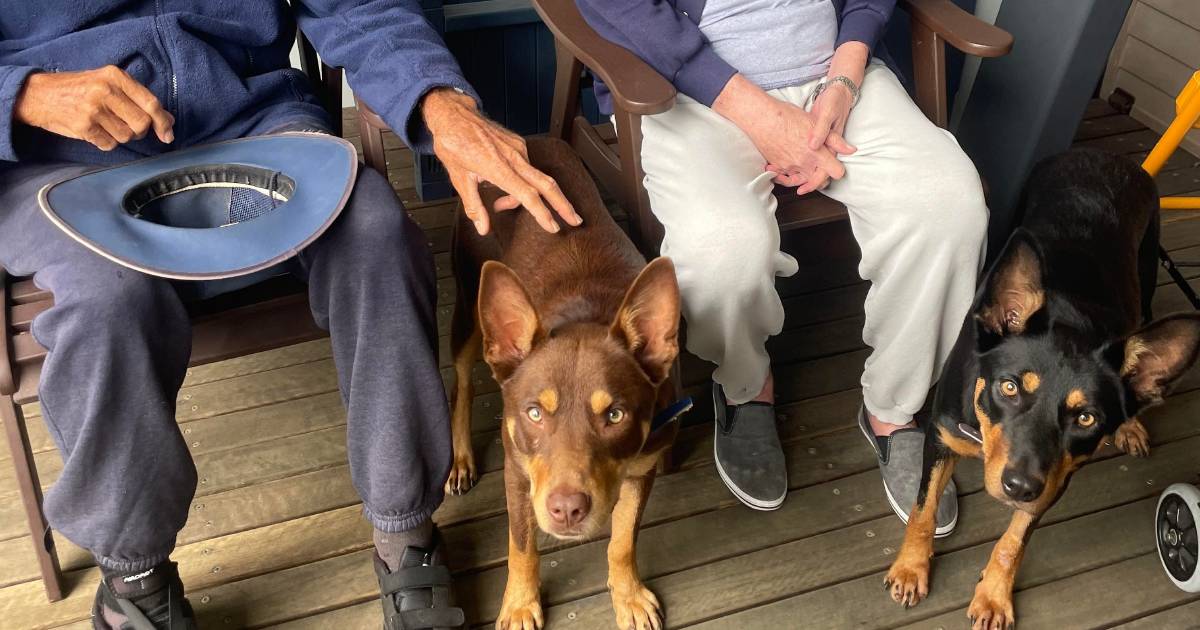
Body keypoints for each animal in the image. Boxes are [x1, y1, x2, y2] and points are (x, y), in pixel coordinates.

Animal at [448, 137, 686, 628]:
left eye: (615, 415)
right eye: (534, 413)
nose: (567, 509)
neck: (586, 314)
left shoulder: (643, 467)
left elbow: (622, 540)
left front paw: (628, 596)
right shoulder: (518, 471)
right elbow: (521, 545)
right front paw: (520, 604)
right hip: (468, 304)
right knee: (461, 380)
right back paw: (461, 459)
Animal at [883, 148, 1200, 628]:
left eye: (1086, 417)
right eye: (1010, 387)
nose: (1018, 487)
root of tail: (1106, 155)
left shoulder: (1054, 480)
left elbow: (1014, 541)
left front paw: (994, 596)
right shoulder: (940, 437)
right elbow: (923, 509)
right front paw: (910, 569)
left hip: (1145, 278)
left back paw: (1131, 426)